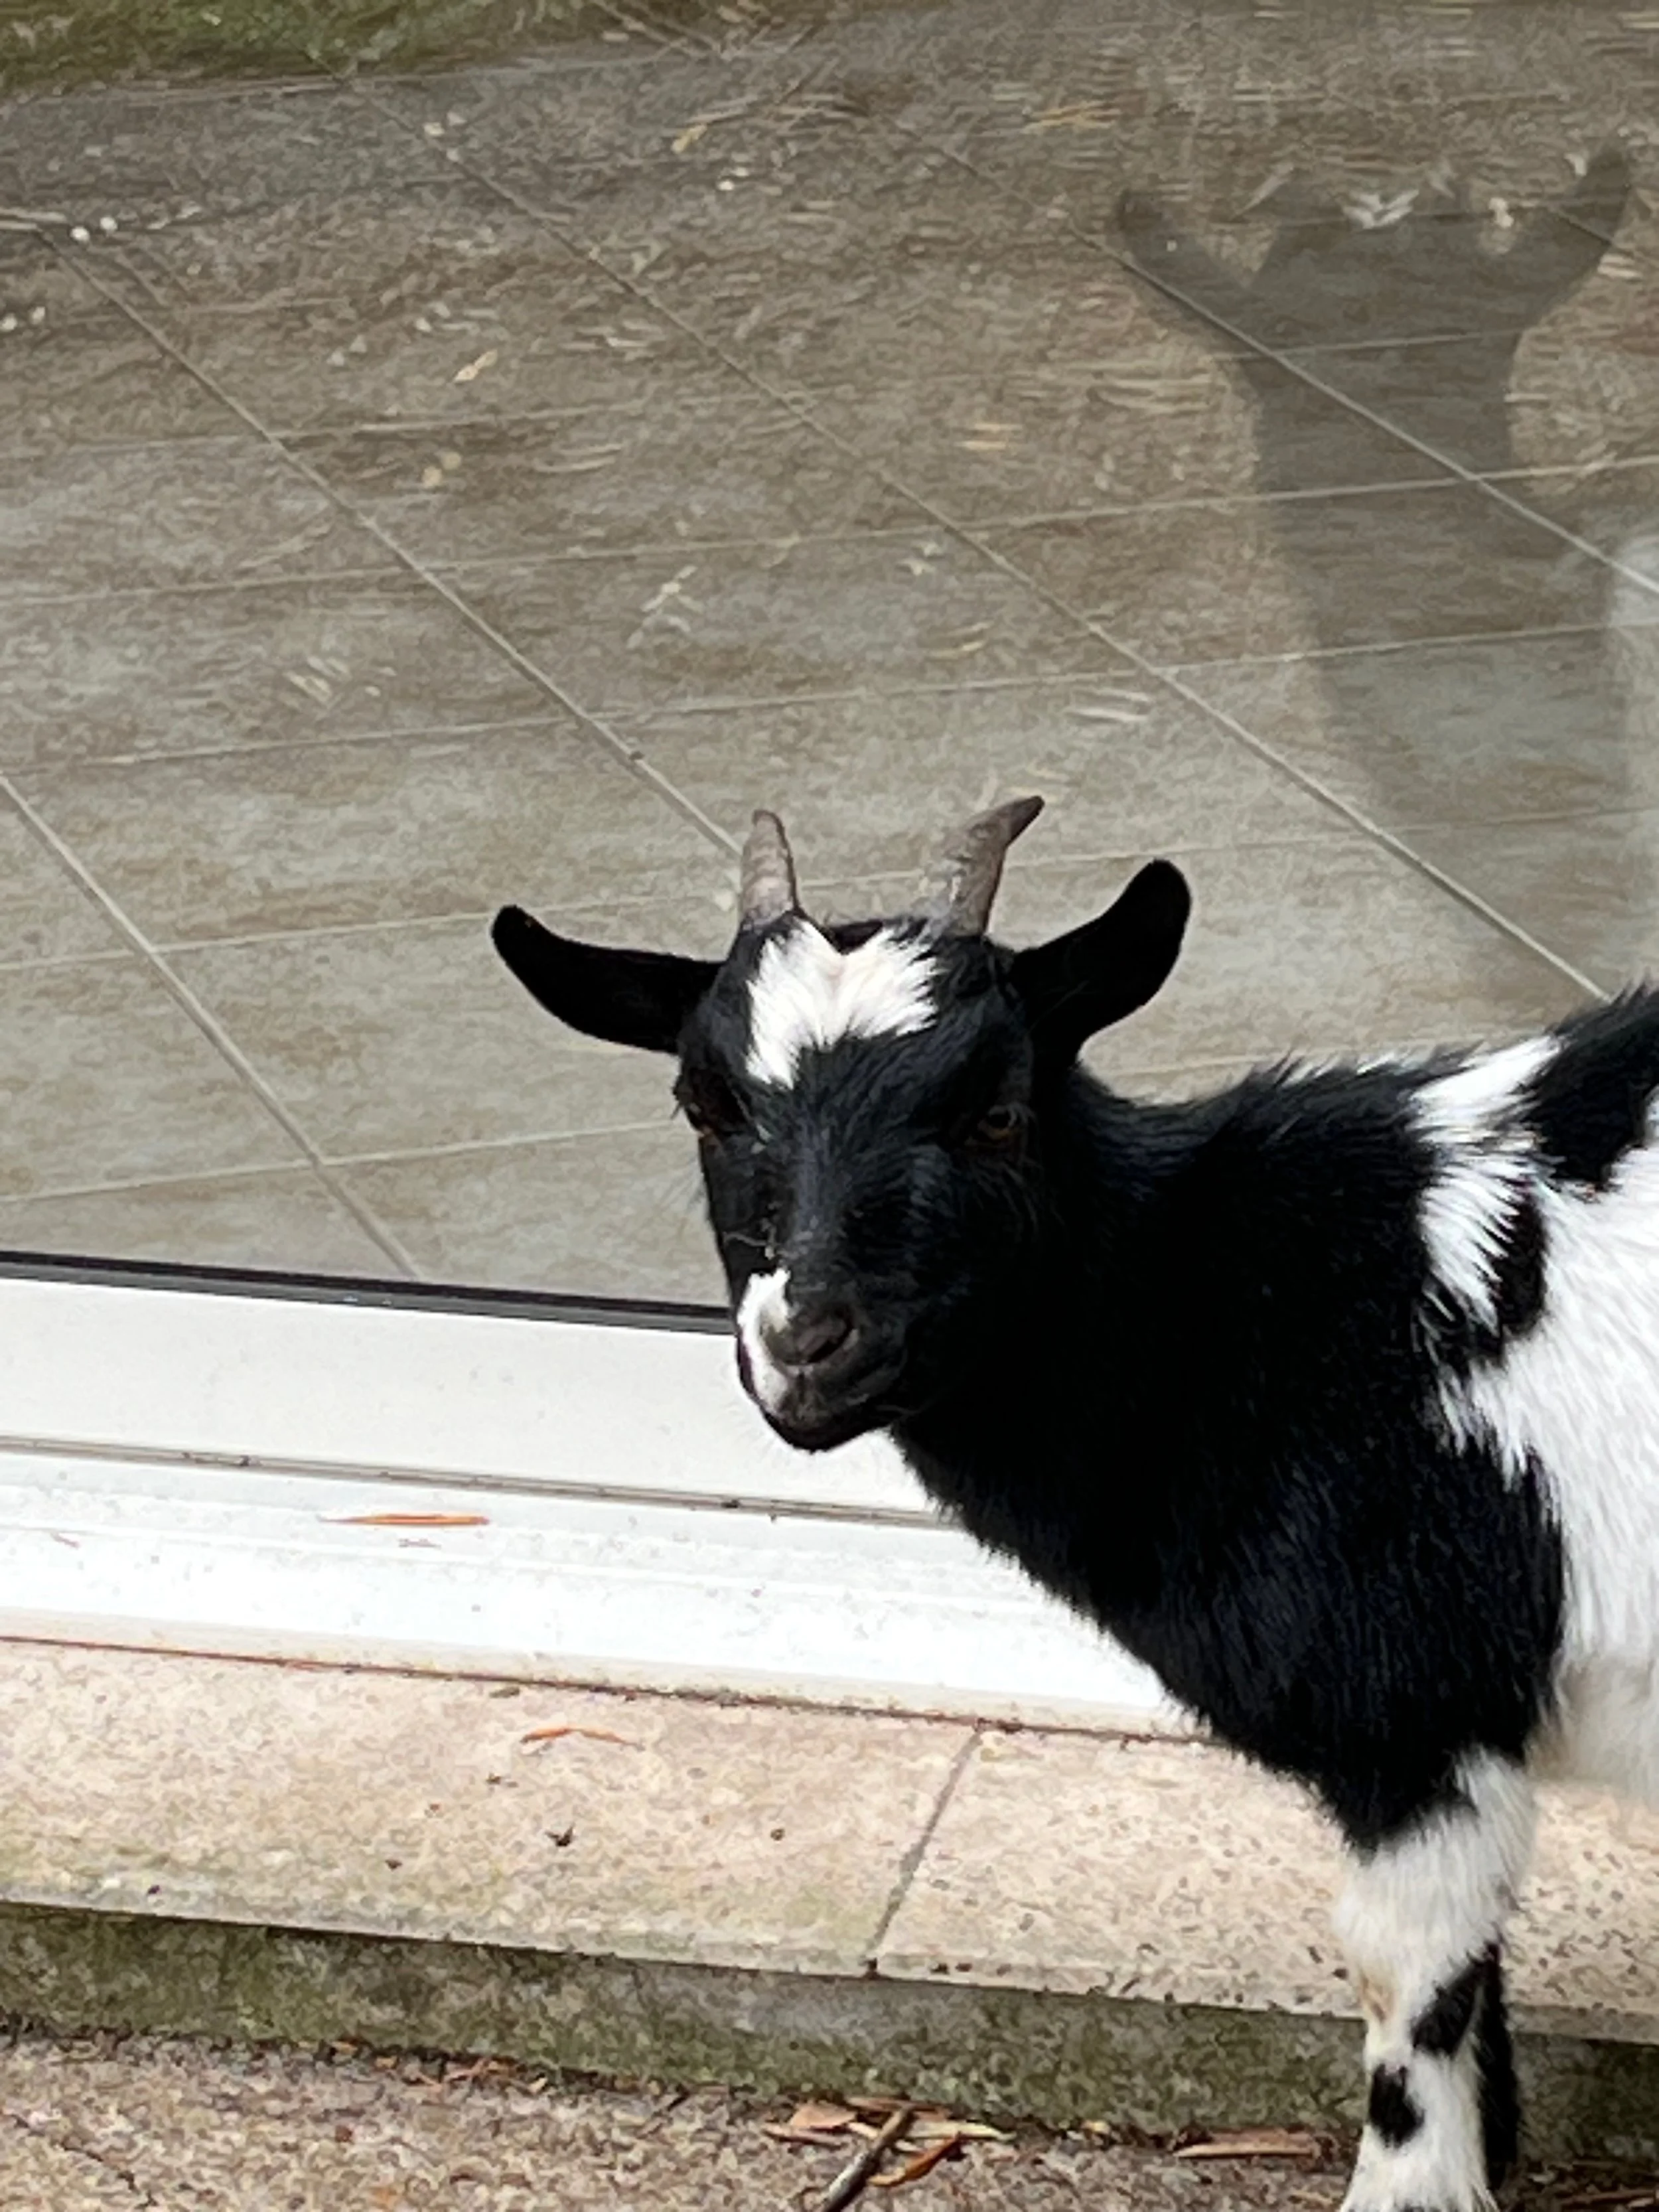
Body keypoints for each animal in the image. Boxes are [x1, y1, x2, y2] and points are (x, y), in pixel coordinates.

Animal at [492, 798, 1659, 2212]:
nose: (807, 1345)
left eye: (995, 1110)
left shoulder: (1414, 1710)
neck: (1245, 1301)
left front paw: (1410, 2186)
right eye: (702, 1102)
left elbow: (1411, 1980)